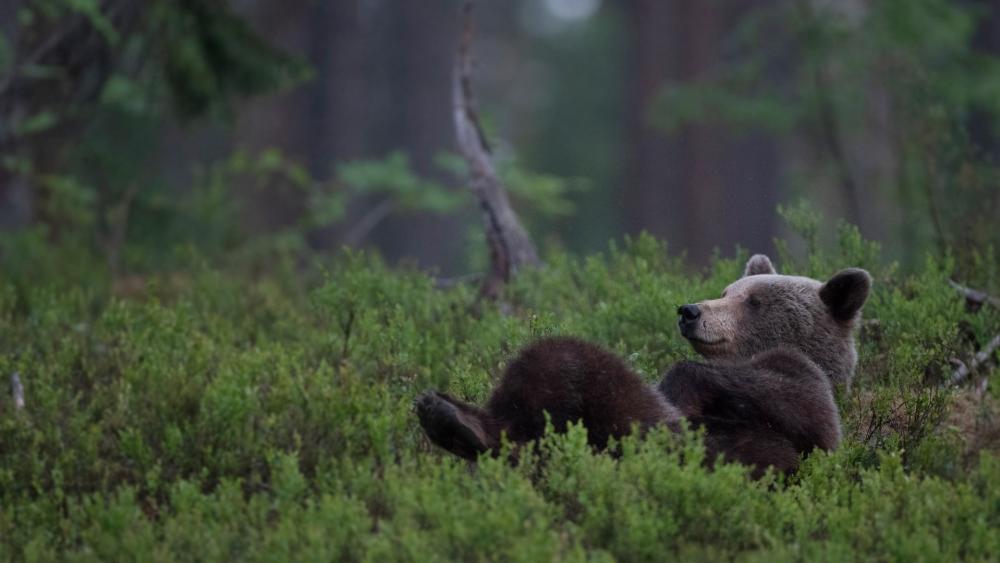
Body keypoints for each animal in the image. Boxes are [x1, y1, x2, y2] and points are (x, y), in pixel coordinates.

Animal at [415, 254, 871, 476]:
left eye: (754, 301)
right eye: (727, 290)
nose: (690, 311)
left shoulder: (806, 398)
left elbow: (800, 404)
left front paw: (680, 383)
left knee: (562, 358)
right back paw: (442, 413)